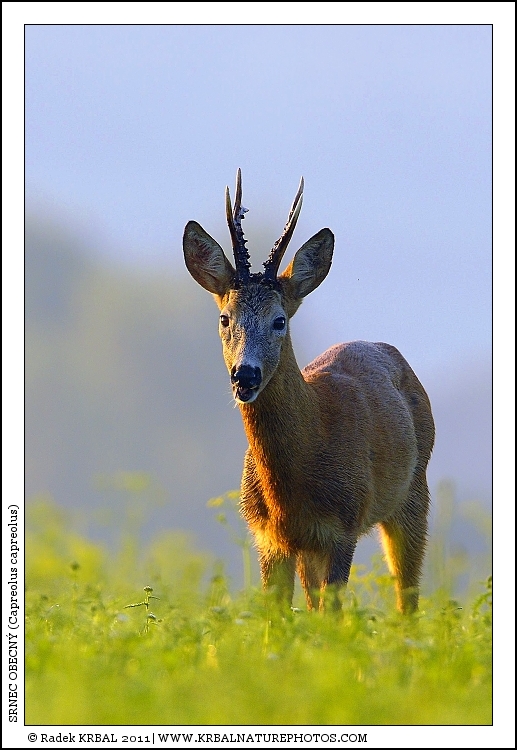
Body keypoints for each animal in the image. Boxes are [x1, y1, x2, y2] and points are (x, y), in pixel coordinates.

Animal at [183, 170, 435, 614]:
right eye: (225, 317)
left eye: (279, 320)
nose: (245, 376)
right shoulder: (270, 538)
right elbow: (278, 618)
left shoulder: (342, 529)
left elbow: (332, 614)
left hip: (414, 494)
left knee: (407, 597)